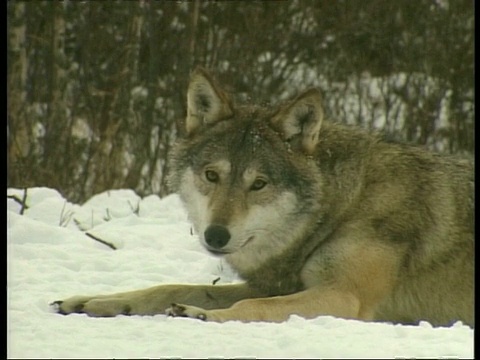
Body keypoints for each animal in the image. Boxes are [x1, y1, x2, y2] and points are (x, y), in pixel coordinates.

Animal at [51, 67, 472, 326]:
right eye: (212, 175)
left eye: (259, 184)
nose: (216, 236)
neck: (343, 206)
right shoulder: (273, 285)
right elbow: (168, 288)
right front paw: (94, 302)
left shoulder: (342, 296)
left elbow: (251, 306)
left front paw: (203, 316)